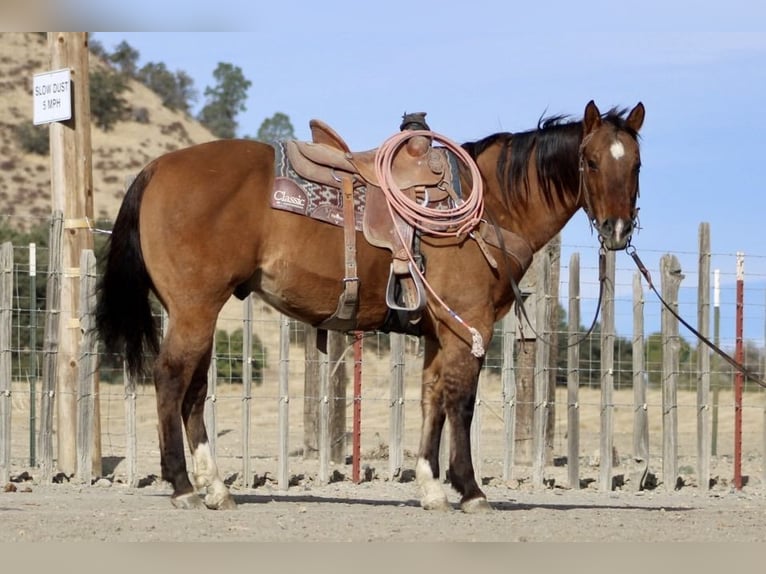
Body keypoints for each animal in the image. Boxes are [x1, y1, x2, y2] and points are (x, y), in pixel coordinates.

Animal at [95, 99, 645, 512]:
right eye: (591, 161)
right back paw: (182, 485)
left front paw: (430, 488)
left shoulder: (437, 335)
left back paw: (215, 487)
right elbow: (461, 403)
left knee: (194, 389)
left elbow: (432, 401)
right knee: (171, 379)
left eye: (636, 164)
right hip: (194, 309)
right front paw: (469, 490)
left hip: (201, 313)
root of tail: (156, 168)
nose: (617, 231)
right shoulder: (467, 327)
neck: (489, 205)